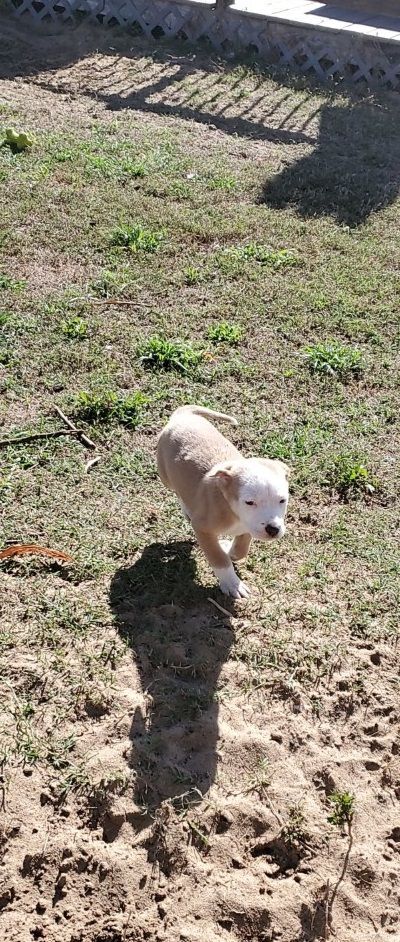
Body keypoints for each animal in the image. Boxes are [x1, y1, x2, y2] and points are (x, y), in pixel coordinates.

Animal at [156, 404, 290, 596]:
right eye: (249, 502)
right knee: (178, 492)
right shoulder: (202, 529)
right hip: (165, 476)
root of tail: (183, 416)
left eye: (282, 500)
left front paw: (229, 549)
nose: (273, 529)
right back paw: (186, 509)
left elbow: (241, 548)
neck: (231, 508)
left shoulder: (247, 526)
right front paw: (232, 583)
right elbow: (218, 557)